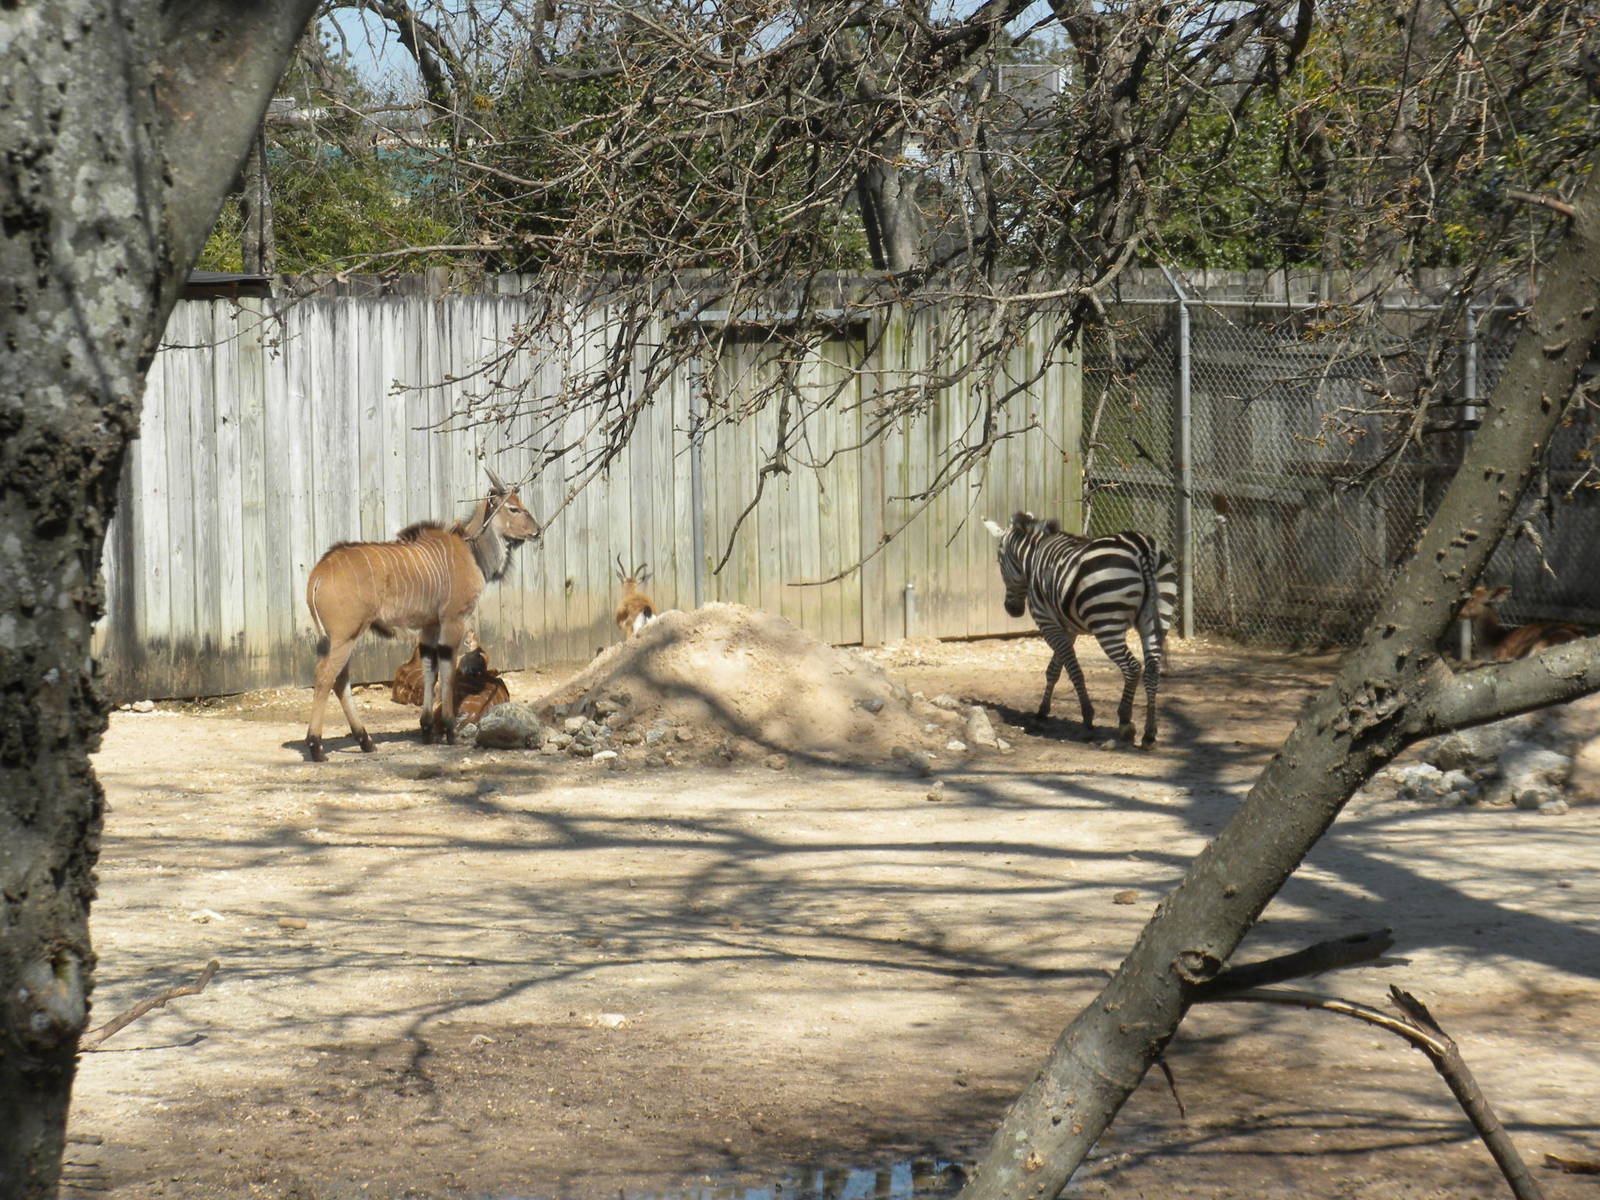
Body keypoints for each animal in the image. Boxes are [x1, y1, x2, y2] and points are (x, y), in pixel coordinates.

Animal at [303, 467, 539, 762]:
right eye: (513, 508)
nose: (537, 531)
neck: (470, 551)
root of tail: (319, 573)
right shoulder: (454, 619)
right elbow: (447, 667)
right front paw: (448, 730)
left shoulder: (430, 625)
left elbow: (430, 667)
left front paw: (427, 729)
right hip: (344, 635)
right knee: (325, 677)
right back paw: (316, 746)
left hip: (342, 637)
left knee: (340, 679)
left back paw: (366, 740)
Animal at [983, 512, 1177, 747]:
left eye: (999, 561)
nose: (1012, 610)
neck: (1035, 556)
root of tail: (1143, 548)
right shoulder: (1068, 629)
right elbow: (1054, 669)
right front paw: (1042, 712)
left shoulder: (1048, 623)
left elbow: (1074, 670)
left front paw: (1087, 716)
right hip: (1157, 616)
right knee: (1152, 670)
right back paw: (1149, 733)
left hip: (1107, 624)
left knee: (1132, 668)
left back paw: (1125, 722)